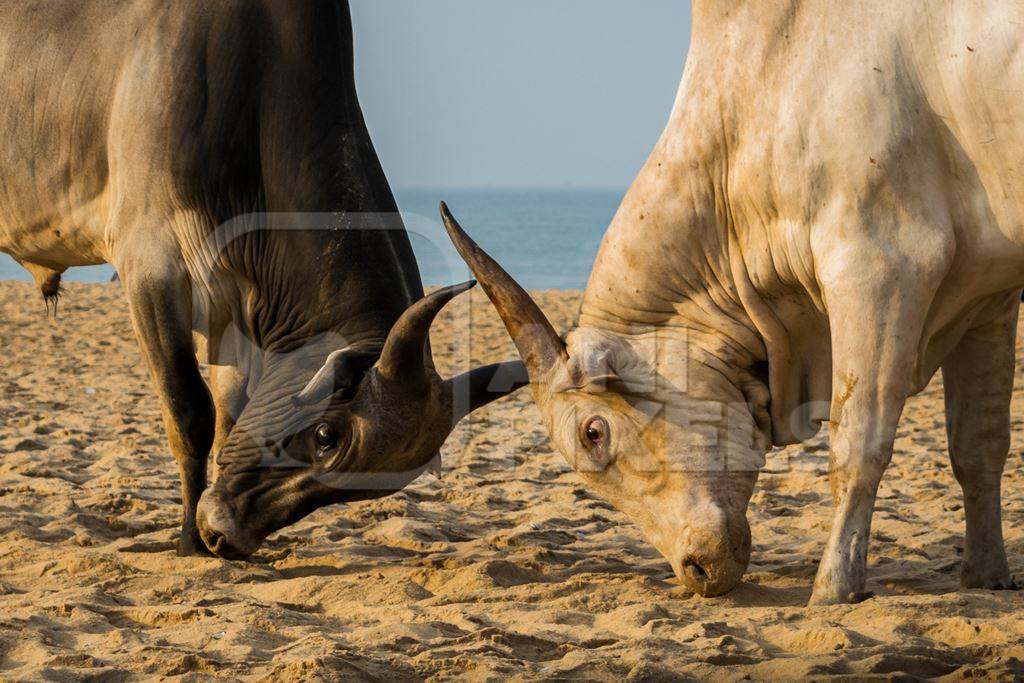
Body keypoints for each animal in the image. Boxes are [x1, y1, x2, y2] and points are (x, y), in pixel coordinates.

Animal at [442, 0, 1024, 606]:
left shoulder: (880, 266)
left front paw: (833, 587)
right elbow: (978, 446)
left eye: (593, 433)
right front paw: (987, 575)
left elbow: (857, 445)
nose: (694, 569)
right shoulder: (991, 296)